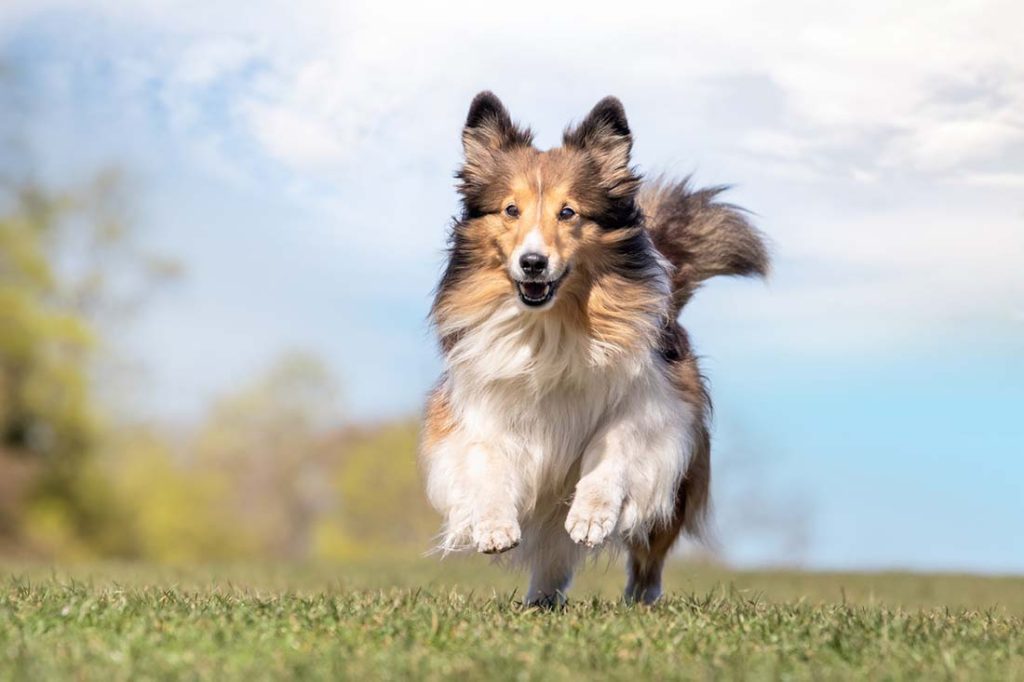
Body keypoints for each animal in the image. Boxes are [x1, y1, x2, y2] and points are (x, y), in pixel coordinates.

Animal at [417, 91, 770, 606]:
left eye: (568, 212)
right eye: (510, 210)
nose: (533, 263)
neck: (550, 327)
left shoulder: (651, 411)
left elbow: (610, 455)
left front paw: (591, 516)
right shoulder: (479, 408)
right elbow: (488, 462)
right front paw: (494, 526)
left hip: (675, 491)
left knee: (647, 555)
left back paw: (639, 600)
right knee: (551, 555)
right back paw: (541, 599)